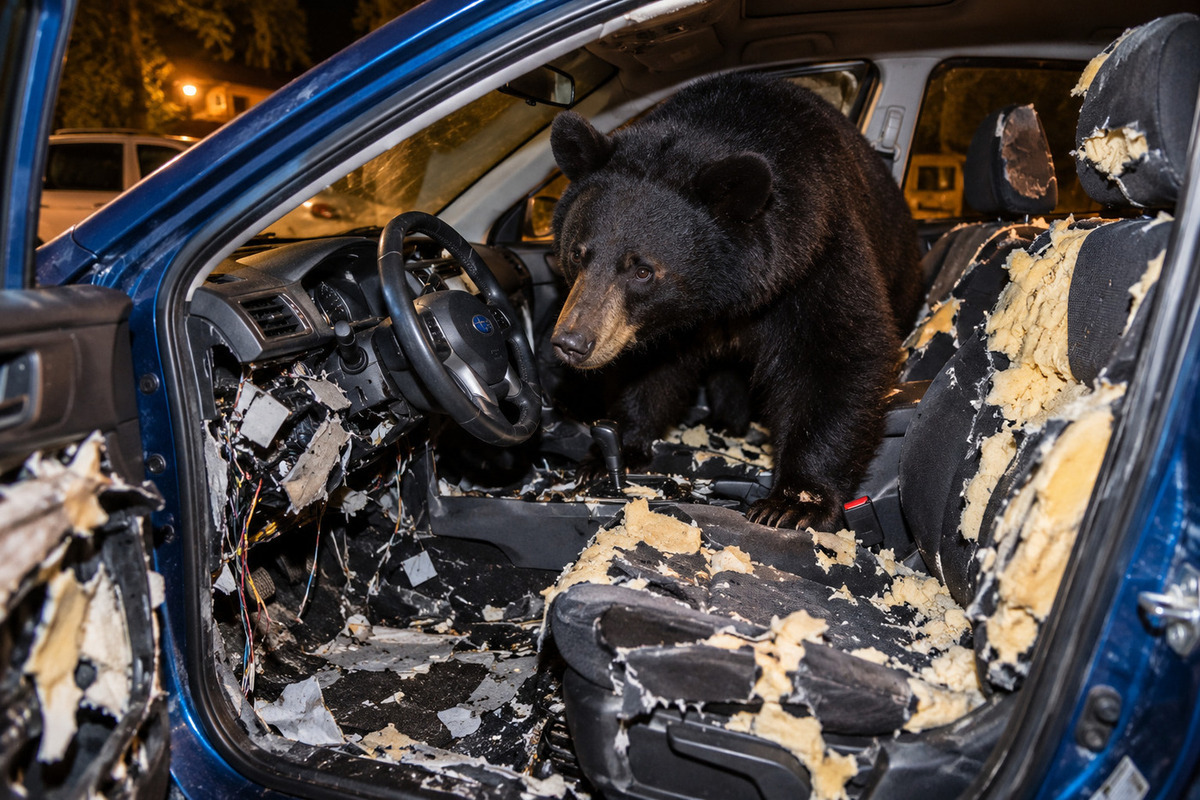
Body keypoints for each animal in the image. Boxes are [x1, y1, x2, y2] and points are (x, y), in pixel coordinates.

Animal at [549, 72, 922, 530]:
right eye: (577, 253)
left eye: (642, 270)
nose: (572, 342)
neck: (724, 295)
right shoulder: (664, 323)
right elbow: (649, 371)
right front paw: (609, 453)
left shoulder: (817, 250)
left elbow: (837, 352)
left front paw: (794, 502)